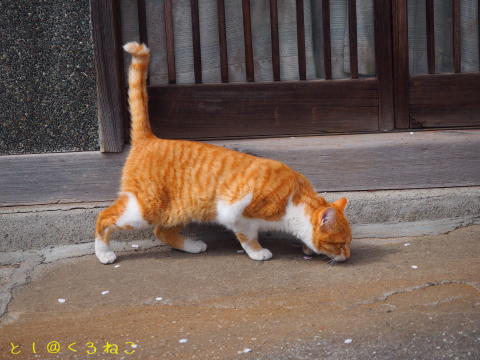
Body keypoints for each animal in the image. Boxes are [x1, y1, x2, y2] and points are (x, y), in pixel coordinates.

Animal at [94, 43, 350, 264]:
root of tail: (149, 138)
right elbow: (247, 236)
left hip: (179, 211)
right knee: (104, 218)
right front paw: (258, 252)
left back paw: (191, 246)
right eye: (340, 244)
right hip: (143, 209)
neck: (293, 199)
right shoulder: (235, 210)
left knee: (161, 232)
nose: (347, 256)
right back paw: (104, 253)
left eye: (348, 243)